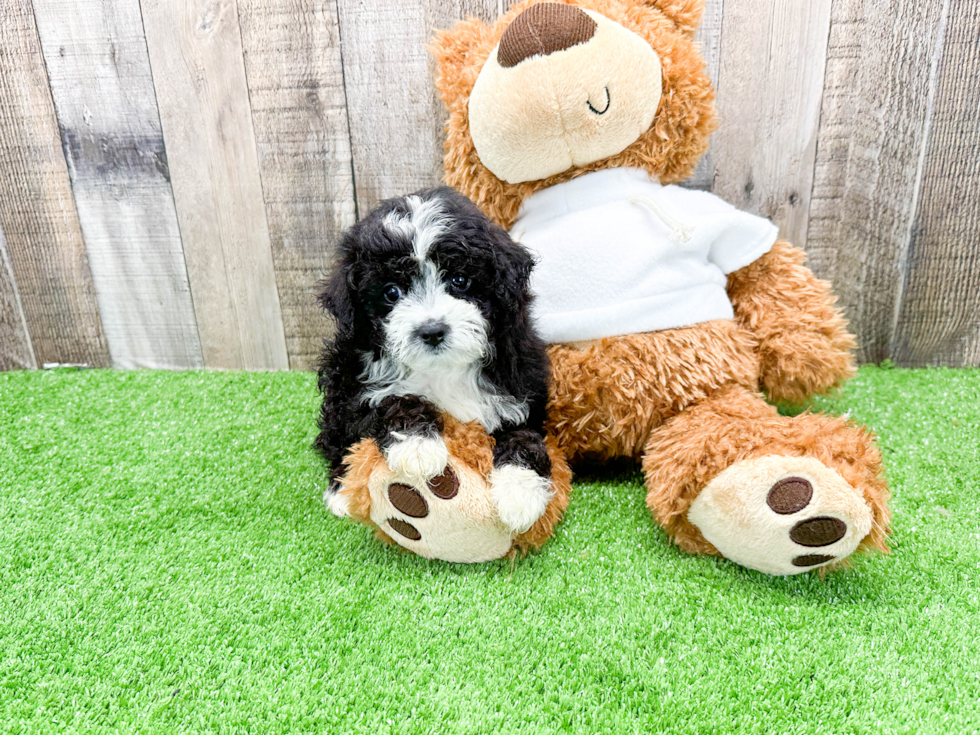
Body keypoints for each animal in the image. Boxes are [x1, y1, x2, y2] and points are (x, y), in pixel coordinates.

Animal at [318, 187, 556, 536]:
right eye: (391, 292)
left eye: (459, 280)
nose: (431, 331)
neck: (444, 369)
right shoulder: (354, 391)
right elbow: (392, 401)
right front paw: (418, 447)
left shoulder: (521, 390)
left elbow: (524, 437)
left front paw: (520, 494)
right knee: (336, 442)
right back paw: (340, 489)